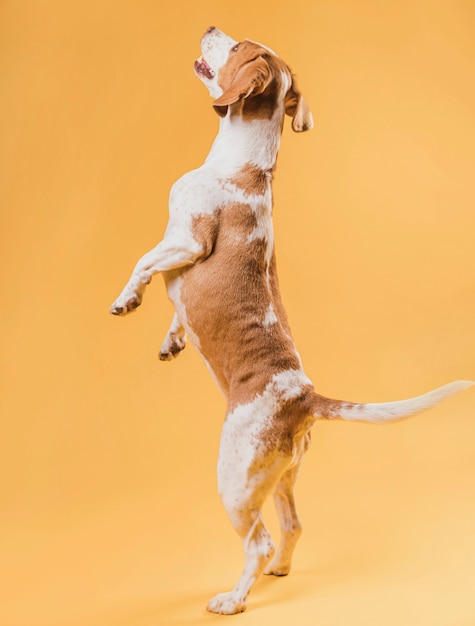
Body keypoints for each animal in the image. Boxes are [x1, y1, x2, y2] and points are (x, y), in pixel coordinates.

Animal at [110, 26, 472, 612]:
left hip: (235, 482)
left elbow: (143, 262)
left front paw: (126, 300)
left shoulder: (184, 241)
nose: (212, 27)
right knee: (293, 525)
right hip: (279, 478)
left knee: (255, 543)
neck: (243, 162)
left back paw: (233, 599)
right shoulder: (179, 258)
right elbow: (176, 308)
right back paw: (280, 569)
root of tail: (304, 397)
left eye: (237, 47)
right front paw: (172, 340)